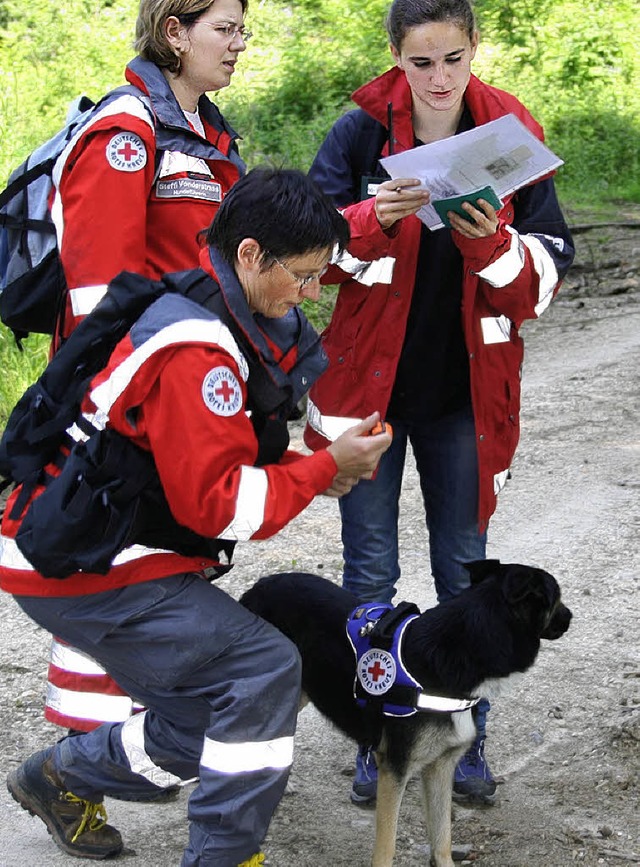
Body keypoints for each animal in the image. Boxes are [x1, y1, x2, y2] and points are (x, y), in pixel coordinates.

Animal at [240, 560, 568, 867]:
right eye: (557, 598)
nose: (571, 617)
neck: (462, 649)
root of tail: (258, 586)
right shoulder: (395, 770)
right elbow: (387, 847)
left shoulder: (440, 767)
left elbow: (442, 837)